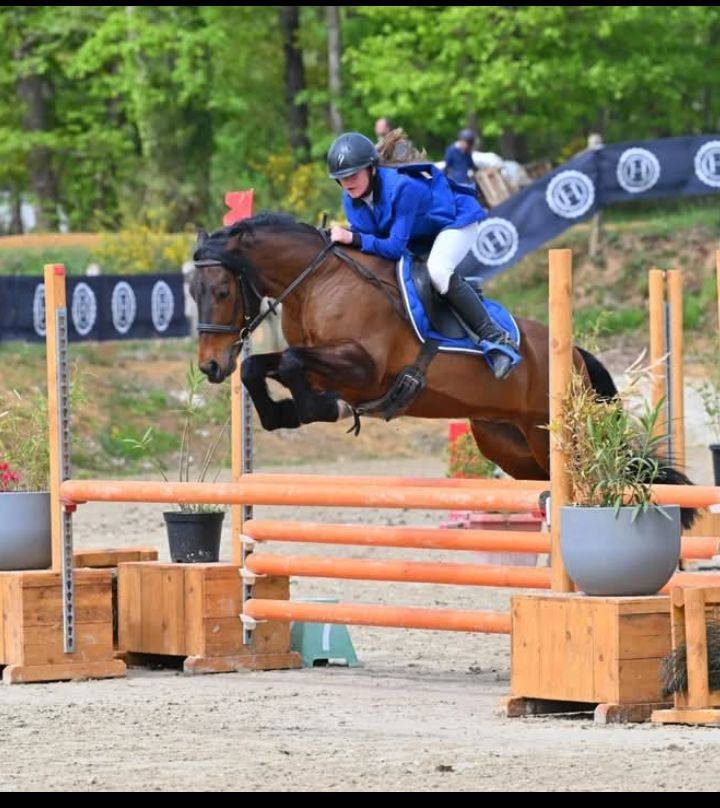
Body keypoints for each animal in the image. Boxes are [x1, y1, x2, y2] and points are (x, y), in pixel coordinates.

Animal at [190, 212, 694, 523]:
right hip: (508, 443)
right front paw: (286, 414)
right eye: (192, 292)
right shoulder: (324, 365)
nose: (211, 366)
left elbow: (292, 364)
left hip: (554, 433)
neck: (319, 281)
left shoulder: (363, 368)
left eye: (221, 290)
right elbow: (259, 368)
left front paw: (317, 408)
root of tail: (574, 354)